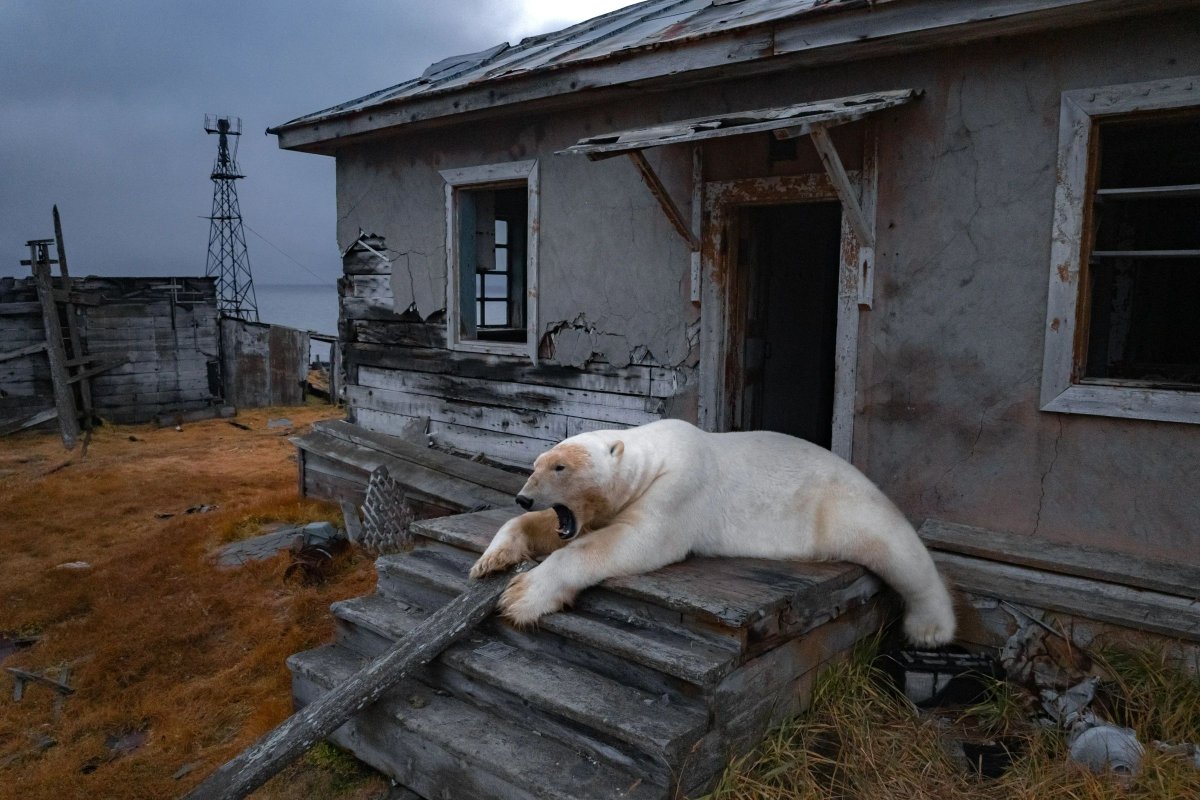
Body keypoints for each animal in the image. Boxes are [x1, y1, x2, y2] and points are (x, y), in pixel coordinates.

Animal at [470, 418, 956, 647]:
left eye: (560, 466)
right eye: (536, 464)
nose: (523, 497)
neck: (654, 456)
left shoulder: (679, 489)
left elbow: (632, 541)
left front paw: (522, 596)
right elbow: (558, 529)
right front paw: (492, 558)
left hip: (842, 505)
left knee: (897, 549)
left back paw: (930, 628)